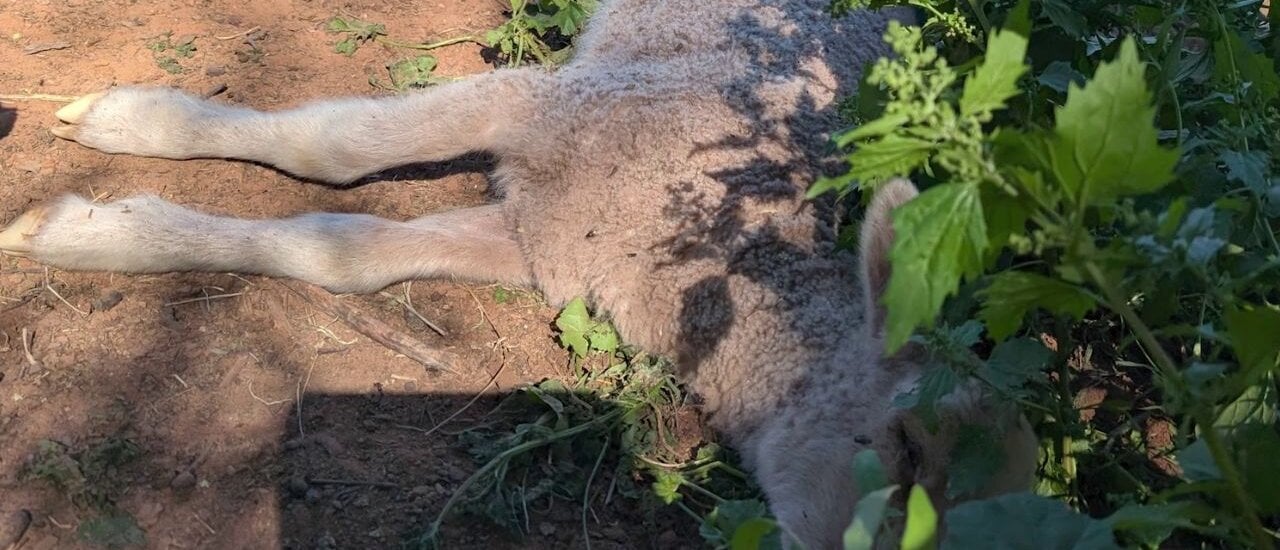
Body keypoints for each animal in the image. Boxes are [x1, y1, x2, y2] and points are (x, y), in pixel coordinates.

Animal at [0, 0, 1038, 547]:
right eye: (905, 447)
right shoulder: (550, 98)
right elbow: (336, 143)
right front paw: (113, 149)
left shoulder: (541, 244)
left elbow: (347, 251)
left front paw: (96, 224)